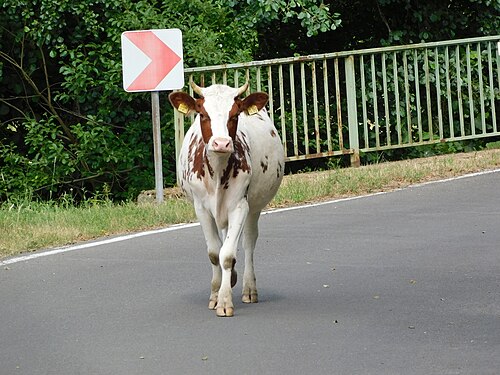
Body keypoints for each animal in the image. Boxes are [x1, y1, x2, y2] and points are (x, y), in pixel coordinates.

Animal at [169, 81, 284, 318]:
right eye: (203, 114)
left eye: (235, 114)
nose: (221, 143)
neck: (218, 170)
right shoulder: (201, 209)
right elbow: (215, 252)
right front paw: (215, 293)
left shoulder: (240, 206)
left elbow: (227, 254)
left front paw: (224, 301)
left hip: (254, 208)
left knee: (249, 242)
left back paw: (249, 288)